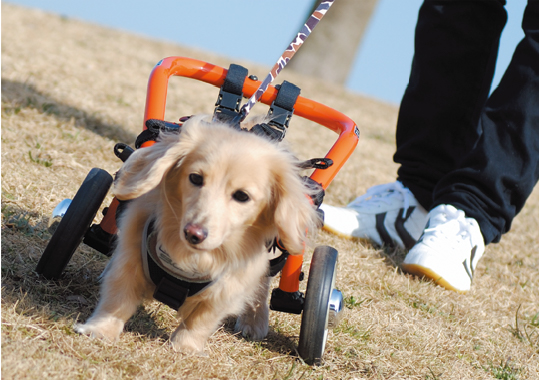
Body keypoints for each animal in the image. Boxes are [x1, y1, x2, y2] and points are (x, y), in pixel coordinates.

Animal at [75, 115, 320, 354]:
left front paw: (185, 347)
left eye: (242, 196)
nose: (194, 233)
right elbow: (118, 300)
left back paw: (254, 321)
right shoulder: (131, 256)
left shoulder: (226, 287)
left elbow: (200, 320)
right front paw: (100, 330)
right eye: (195, 178)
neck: (189, 258)